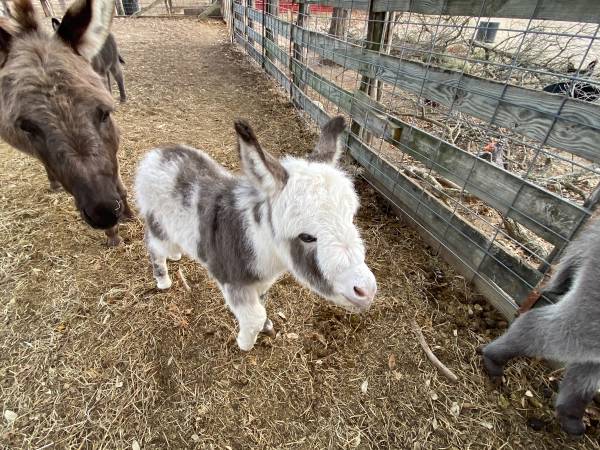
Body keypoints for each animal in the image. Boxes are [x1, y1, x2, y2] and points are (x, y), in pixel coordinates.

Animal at [138, 117, 378, 352]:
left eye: (351, 218)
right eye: (307, 237)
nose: (366, 291)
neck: (262, 246)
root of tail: (156, 153)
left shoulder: (262, 280)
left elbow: (261, 306)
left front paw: (266, 328)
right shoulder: (232, 281)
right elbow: (254, 316)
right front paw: (245, 343)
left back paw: (176, 256)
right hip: (159, 224)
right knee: (153, 247)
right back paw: (163, 281)